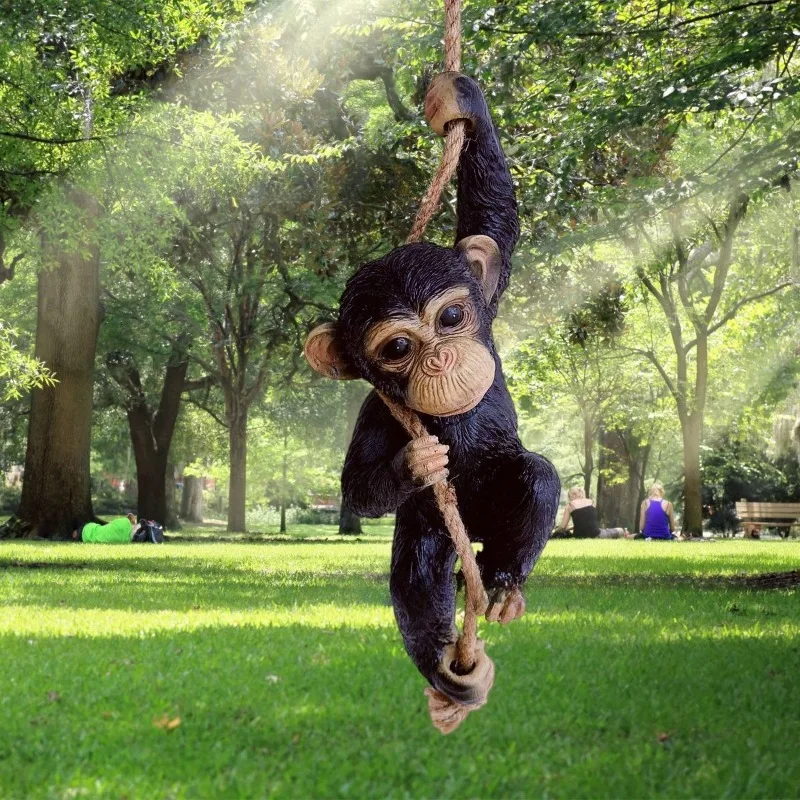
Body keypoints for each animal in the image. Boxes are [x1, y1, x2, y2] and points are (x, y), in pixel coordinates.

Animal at [304, 72, 561, 708]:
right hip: (435, 527)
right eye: (398, 347)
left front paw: (458, 100)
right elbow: (357, 486)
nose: (440, 357)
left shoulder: (490, 294)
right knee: (417, 572)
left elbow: (495, 220)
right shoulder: (377, 412)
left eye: (450, 318)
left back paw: (503, 587)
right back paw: (442, 662)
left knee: (536, 476)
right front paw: (415, 460)